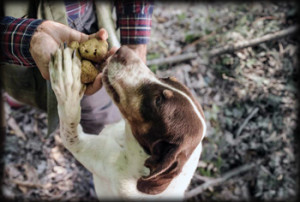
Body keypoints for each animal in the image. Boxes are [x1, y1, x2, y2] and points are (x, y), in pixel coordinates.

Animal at [49, 44, 207, 200]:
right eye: (167, 78)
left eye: (158, 101)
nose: (122, 50)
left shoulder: (82, 146)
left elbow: (69, 117)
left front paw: (66, 74)